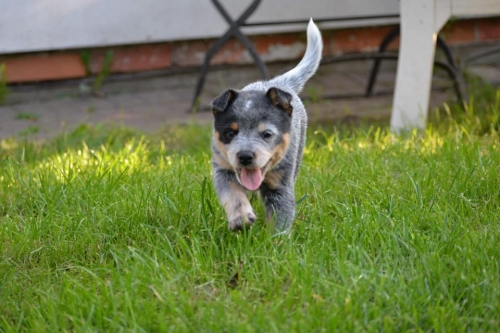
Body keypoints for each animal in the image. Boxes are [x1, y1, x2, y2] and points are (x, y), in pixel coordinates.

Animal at [211, 18, 324, 231]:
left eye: (267, 134)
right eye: (230, 133)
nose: (245, 156)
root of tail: (278, 82)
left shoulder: (279, 186)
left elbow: (281, 218)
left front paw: (274, 240)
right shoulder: (222, 170)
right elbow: (233, 193)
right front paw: (240, 217)